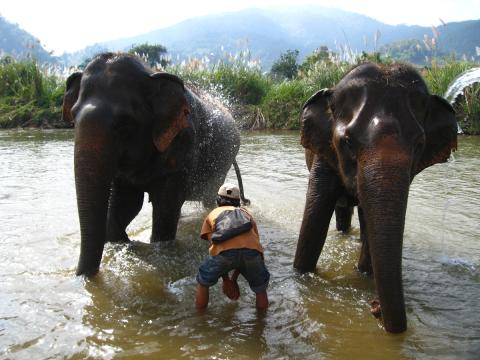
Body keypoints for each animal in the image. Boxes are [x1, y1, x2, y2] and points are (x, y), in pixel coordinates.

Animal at [63, 52, 249, 278]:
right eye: (73, 117)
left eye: (124, 124)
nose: (85, 276)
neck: (150, 73)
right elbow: (127, 204)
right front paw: (121, 241)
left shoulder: (182, 143)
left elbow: (165, 208)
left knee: (209, 198)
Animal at [292, 61, 458, 332]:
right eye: (347, 142)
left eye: (419, 145)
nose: (374, 308)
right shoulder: (324, 155)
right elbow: (314, 220)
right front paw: (302, 273)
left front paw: (365, 275)